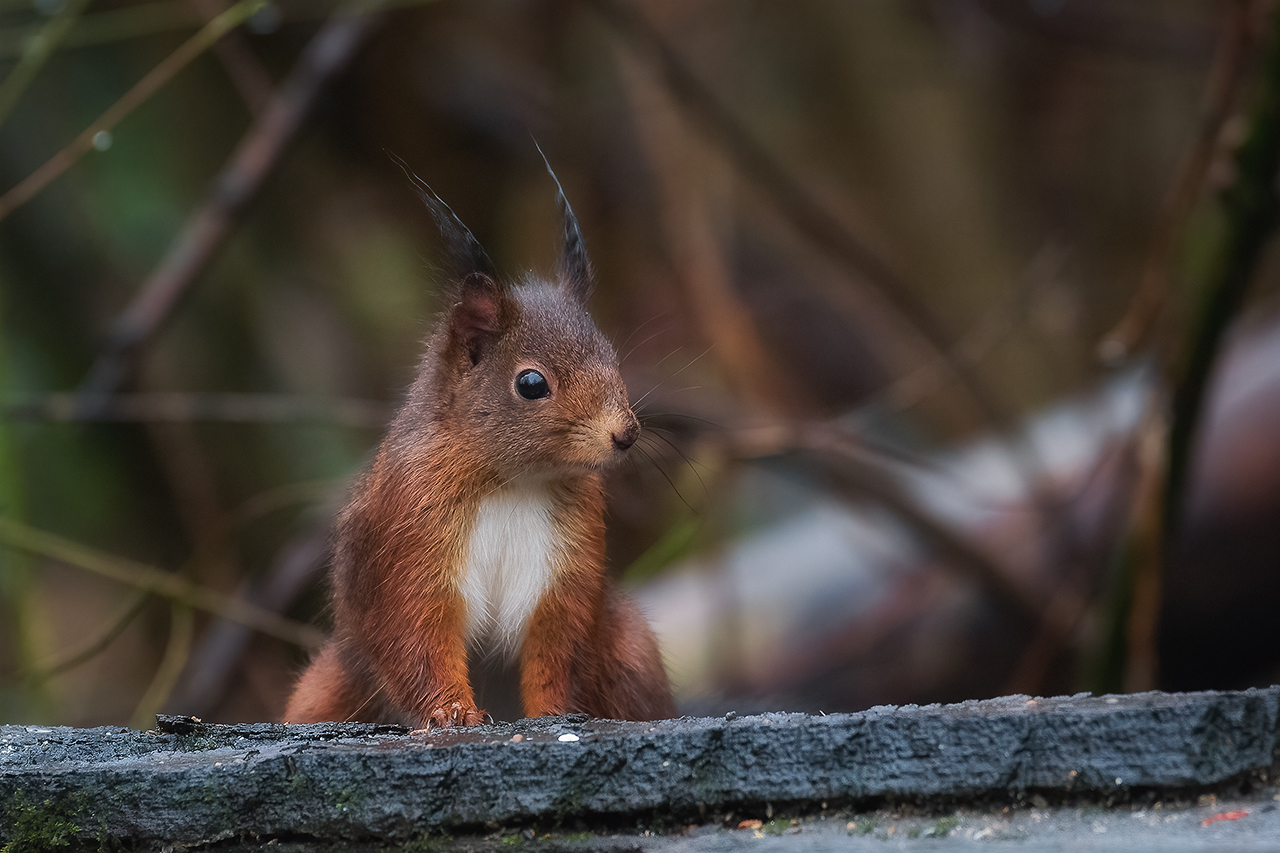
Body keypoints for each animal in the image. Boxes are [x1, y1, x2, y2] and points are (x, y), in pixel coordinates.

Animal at [284, 159, 675, 722]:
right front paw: (452, 713)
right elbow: (415, 641)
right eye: (531, 384)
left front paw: (552, 714)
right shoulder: (407, 542)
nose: (626, 434)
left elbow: (556, 652)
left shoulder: (566, 572)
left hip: (629, 646)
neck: (511, 481)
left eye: (612, 357)